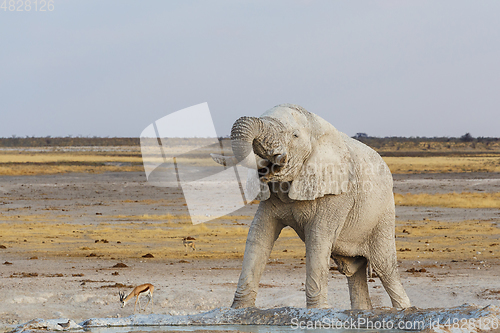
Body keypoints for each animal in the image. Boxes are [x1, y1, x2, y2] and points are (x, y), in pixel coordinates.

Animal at [211, 103, 410, 308]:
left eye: (295, 135)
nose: (273, 160)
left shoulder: (337, 194)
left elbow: (317, 239)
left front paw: (318, 312)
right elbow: (259, 235)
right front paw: (239, 310)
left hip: (383, 215)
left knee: (385, 268)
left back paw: (405, 309)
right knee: (355, 272)